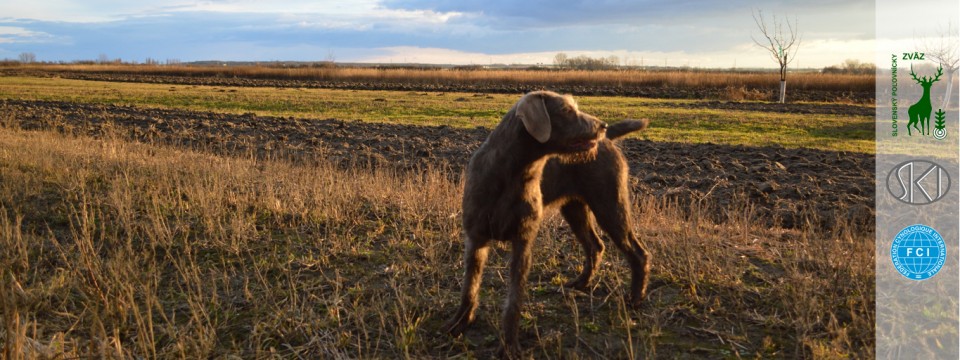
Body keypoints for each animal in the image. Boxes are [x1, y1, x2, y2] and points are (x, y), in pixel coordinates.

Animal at [446, 90, 648, 358]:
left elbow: (514, 301)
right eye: (566, 110)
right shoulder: (475, 238)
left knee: (638, 253)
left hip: (610, 207)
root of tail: (609, 140)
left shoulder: (522, 243)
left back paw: (634, 299)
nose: (602, 126)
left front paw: (509, 345)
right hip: (575, 209)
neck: (512, 172)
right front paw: (459, 323)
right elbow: (469, 287)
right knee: (595, 246)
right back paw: (581, 283)